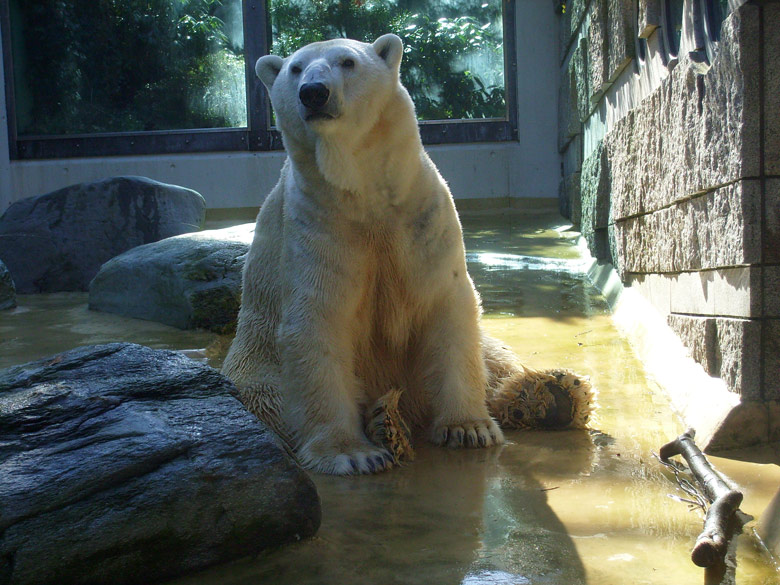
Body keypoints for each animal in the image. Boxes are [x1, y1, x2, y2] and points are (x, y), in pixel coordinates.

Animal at [222, 33, 596, 474]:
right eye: (295, 68)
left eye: (347, 61)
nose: (314, 92)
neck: (363, 190)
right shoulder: (319, 224)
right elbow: (318, 321)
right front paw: (352, 453)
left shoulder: (420, 215)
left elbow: (447, 307)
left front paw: (468, 428)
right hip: (256, 372)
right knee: (271, 401)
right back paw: (387, 423)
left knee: (495, 357)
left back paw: (550, 396)